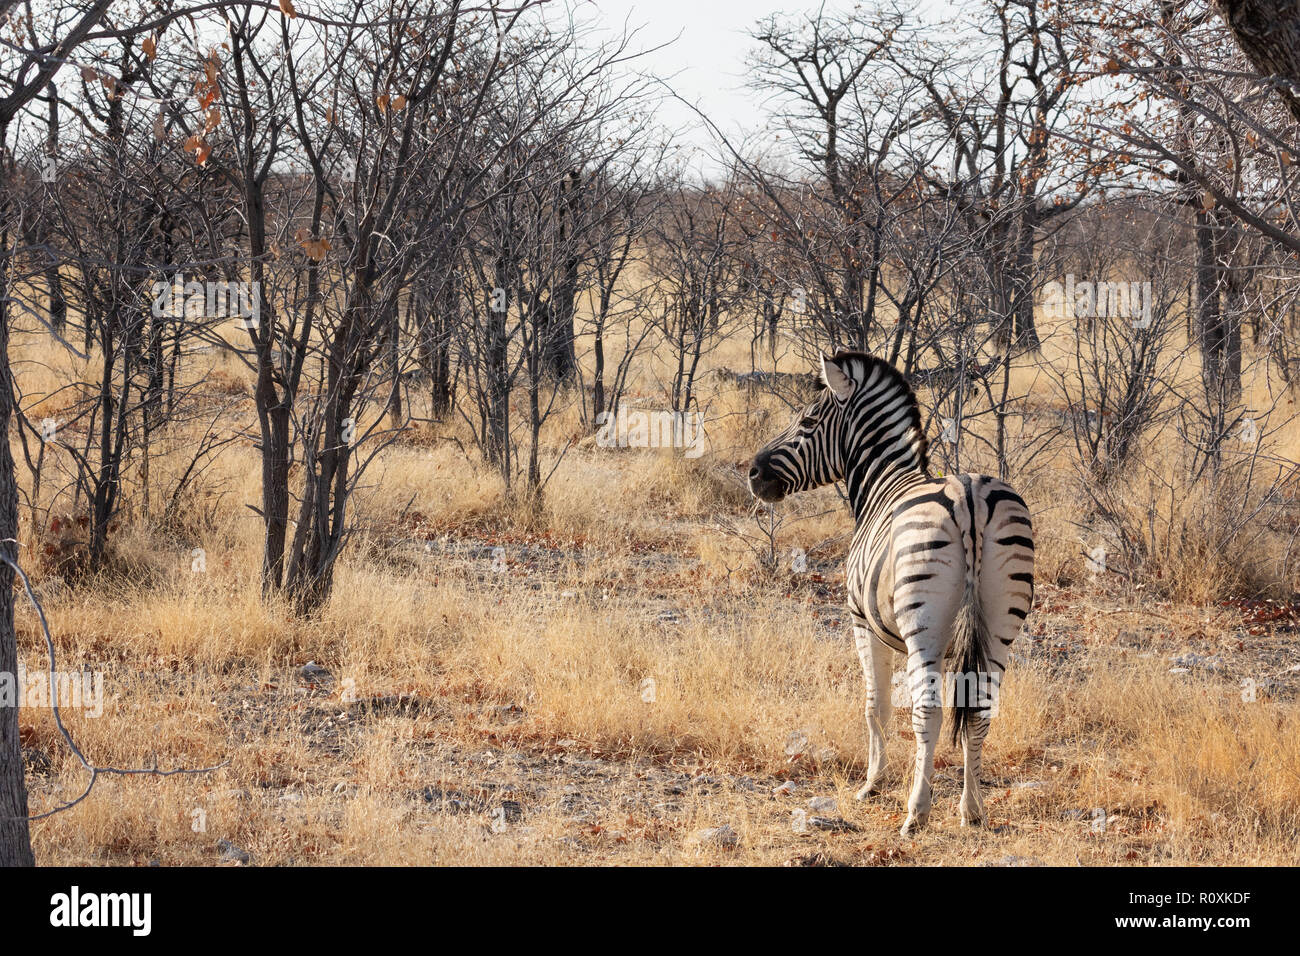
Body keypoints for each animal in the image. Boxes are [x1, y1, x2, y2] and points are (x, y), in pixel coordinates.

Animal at [748, 351, 1034, 836]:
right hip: (1001, 623)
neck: (885, 481)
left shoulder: (862, 622)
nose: (752, 473)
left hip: (923, 625)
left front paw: (872, 784)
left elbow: (876, 706)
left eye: (807, 421)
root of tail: (969, 494)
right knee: (980, 710)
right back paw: (972, 811)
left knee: (928, 712)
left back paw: (916, 813)